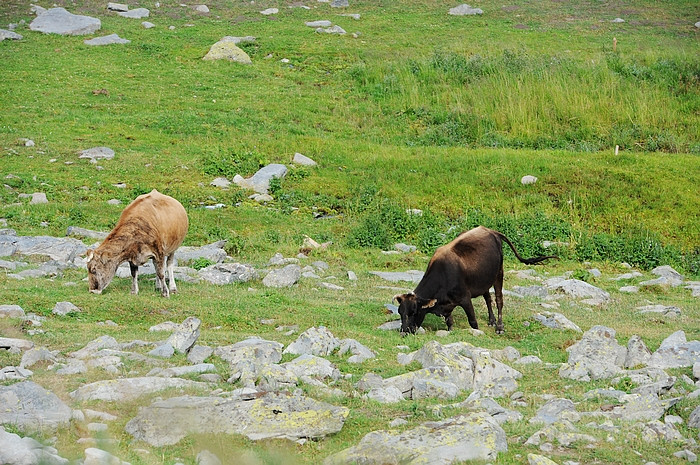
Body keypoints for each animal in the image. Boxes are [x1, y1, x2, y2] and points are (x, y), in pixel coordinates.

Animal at [396, 225, 556, 334]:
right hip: (484, 279)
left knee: (499, 300)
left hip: (499, 273)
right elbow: (449, 321)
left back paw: (499, 326)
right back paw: (491, 321)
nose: (404, 332)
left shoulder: (465, 298)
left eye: (414, 312)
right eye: (400, 312)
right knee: (488, 298)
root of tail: (492, 231)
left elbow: (473, 321)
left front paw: (477, 332)